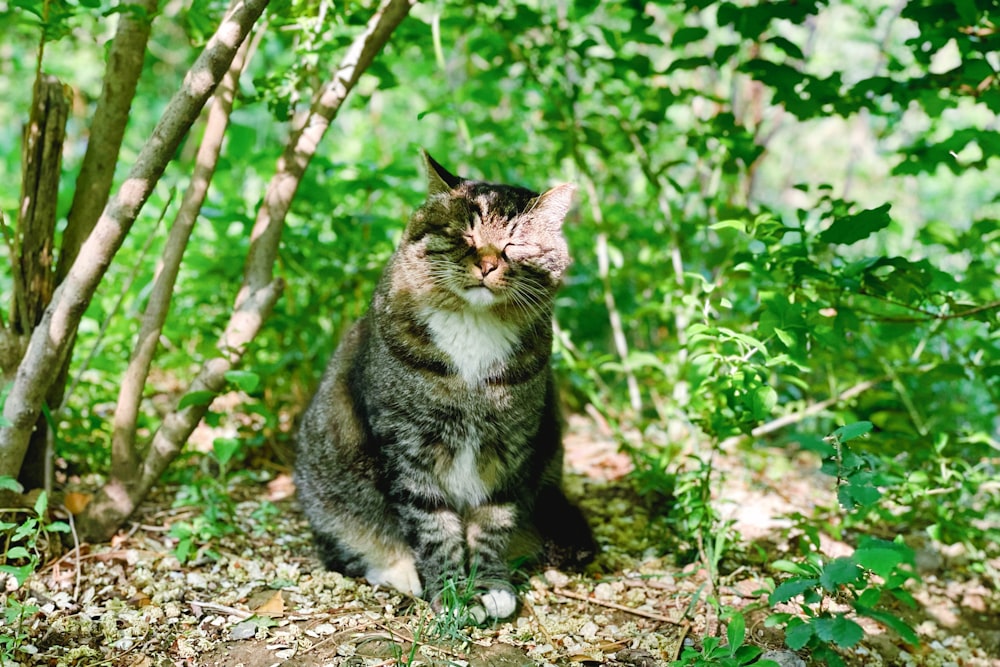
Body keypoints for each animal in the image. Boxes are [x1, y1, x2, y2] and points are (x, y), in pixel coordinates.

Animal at [292, 154, 596, 624]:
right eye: (466, 235)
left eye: (514, 245)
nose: (487, 264)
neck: (474, 327)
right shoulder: (408, 446)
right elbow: (432, 525)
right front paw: (453, 591)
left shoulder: (511, 446)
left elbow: (493, 520)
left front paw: (489, 585)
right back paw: (399, 571)